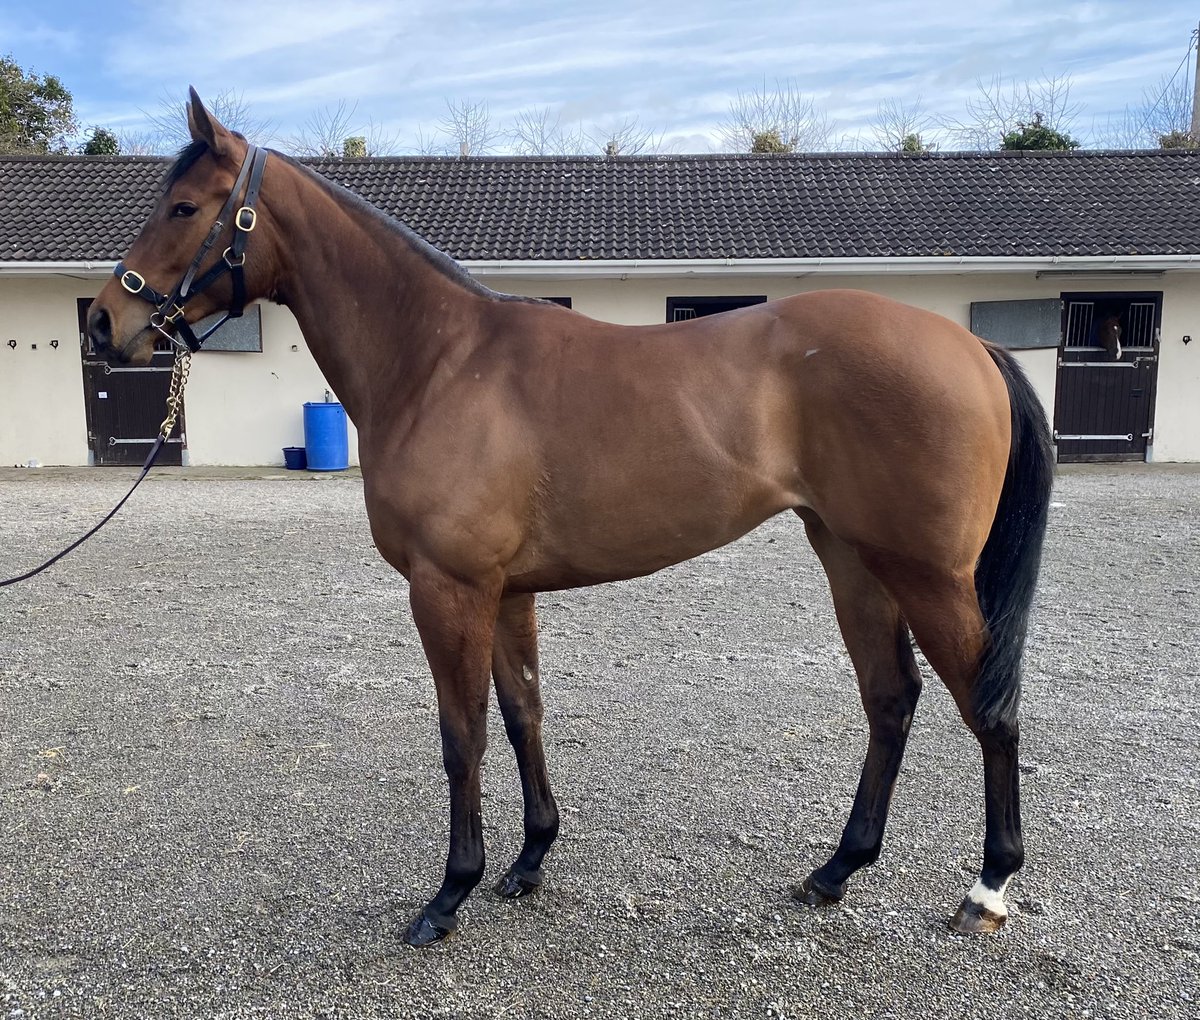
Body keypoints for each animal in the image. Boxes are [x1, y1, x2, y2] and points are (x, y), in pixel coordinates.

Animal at [86, 90, 1054, 947]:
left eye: (183, 206)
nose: (103, 321)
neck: (440, 362)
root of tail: (971, 344)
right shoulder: (505, 591)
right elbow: (523, 715)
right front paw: (529, 861)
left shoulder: (448, 590)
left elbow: (463, 737)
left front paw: (449, 895)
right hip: (854, 558)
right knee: (891, 700)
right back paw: (835, 871)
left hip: (926, 574)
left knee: (989, 709)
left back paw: (987, 890)